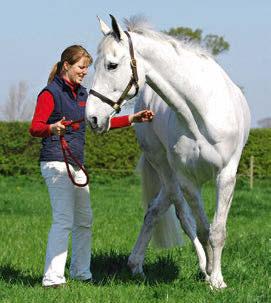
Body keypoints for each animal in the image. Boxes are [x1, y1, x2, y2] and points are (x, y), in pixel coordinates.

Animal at [86, 14, 252, 290]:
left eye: (111, 65)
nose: (92, 118)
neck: (200, 113)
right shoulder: (187, 180)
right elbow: (202, 228)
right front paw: (210, 273)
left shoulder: (226, 175)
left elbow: (217, 230)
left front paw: (217, 281)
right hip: (165, 169)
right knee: (175, 214)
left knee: (156, 208)